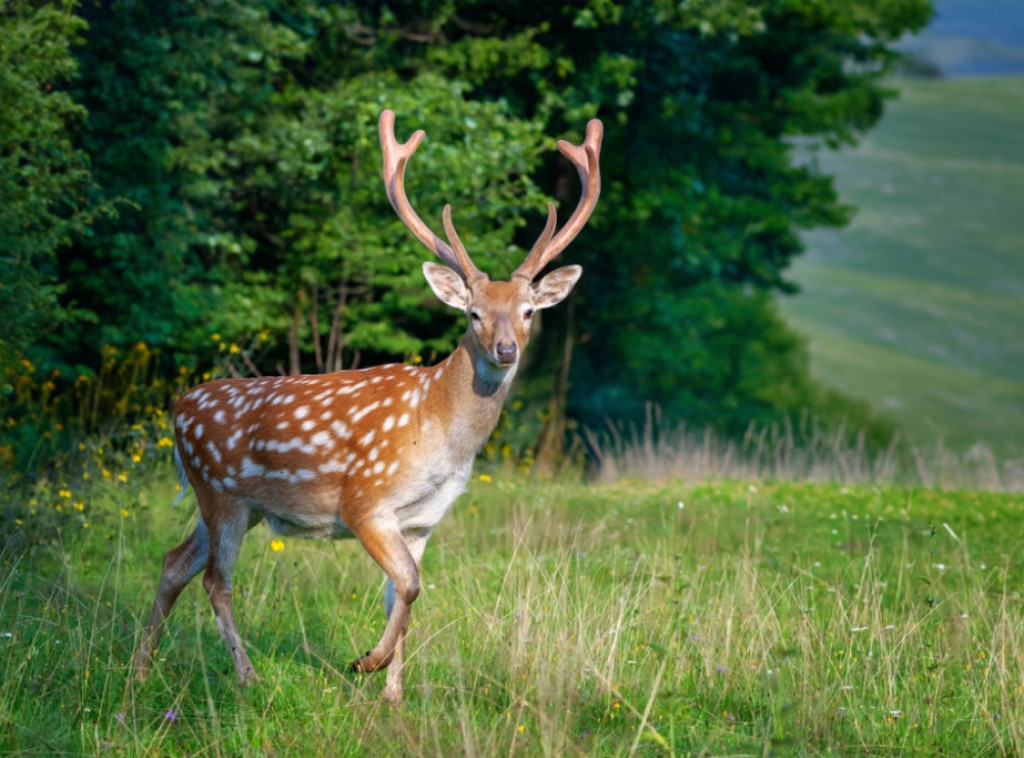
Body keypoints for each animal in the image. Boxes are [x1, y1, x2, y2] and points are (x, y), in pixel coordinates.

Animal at [134, 106, 598, 700]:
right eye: (472, 312)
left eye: (528, 311)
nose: (506, 349)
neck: (437, 432)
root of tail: (177, 408)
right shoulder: (364, 501)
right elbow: (408, 585)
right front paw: (365, 664)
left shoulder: (422, 521)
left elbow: (404, 592)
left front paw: (393, 694)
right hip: (221, 494)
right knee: (217, 580)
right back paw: (247, 675)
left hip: (236, 504)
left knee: (174, 563)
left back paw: (141, 669)